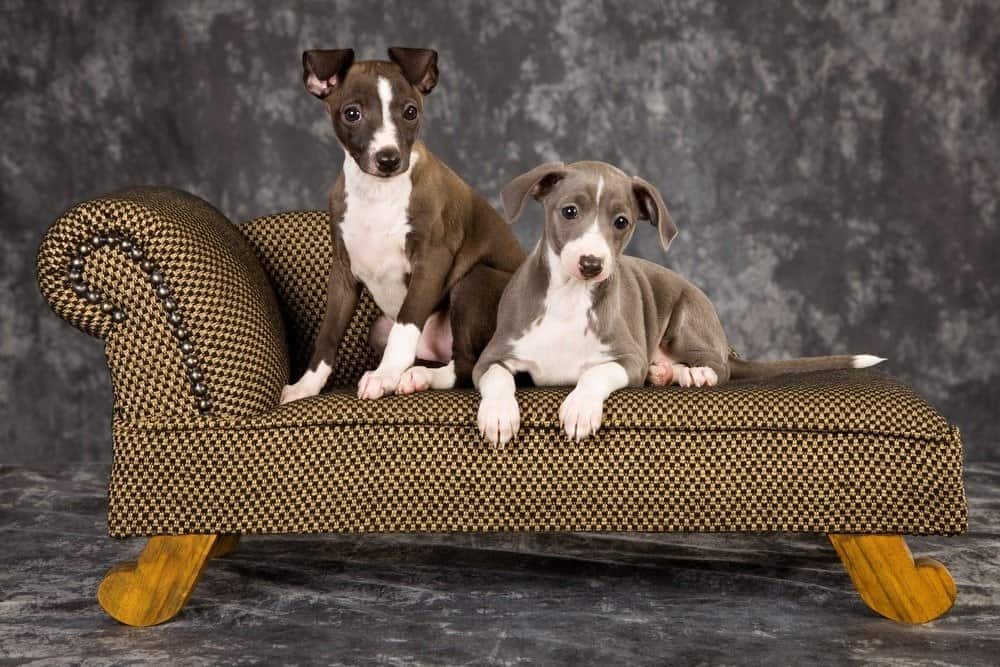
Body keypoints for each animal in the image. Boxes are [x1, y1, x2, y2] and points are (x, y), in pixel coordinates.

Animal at [282, 49, 524, 404]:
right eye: (352, 113)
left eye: (410, 112)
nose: (388, 158)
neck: (379, 194)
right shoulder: (343, 273)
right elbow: (328, 335)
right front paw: (306, 386)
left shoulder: (432, 260)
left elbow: (407, 322)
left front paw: (383, 376)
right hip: (378, 328)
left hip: (474, 282)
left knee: (468, 364)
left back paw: (419, 376)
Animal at [472, 160, 888, 446]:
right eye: (569, 211)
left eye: (621, 222)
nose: (592, 264)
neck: (570, 298)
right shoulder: (492, 355)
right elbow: (497, 378)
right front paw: (498, 414)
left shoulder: (628, 359)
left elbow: (595, 374)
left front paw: (580, 407)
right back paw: (664, 373)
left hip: (686, 316)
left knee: (719, 366)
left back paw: (693, 373)